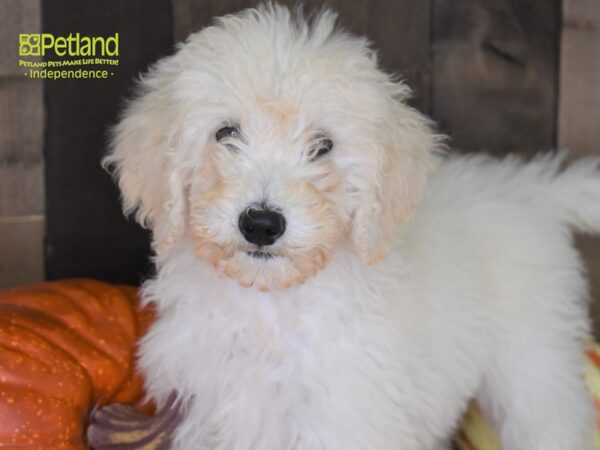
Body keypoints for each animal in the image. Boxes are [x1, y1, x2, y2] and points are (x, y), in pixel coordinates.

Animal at [105, 4, 600, 450]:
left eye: (322, 146)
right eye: (226, 133)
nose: (261, 224)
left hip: (533, 364)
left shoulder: (346, 417)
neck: (270, 305)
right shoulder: (212, 410)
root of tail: (529, 187)